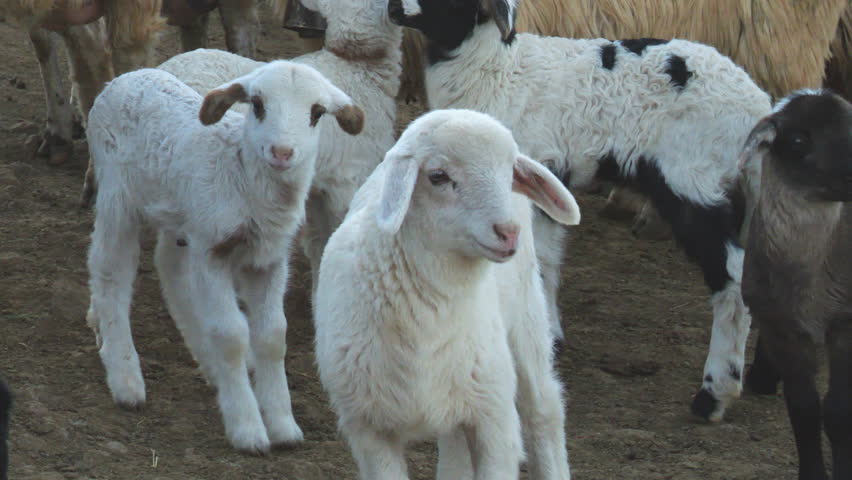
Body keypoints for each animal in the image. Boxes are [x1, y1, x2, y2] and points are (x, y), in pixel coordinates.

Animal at [84, 61, 364, 453]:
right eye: (257, 104)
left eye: (317, 112)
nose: (282, 152)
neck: (243, 175)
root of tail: (124, 78)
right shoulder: (212, 251)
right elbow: (231, 335)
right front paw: (248, 429)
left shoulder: (268, 258)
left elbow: (273, 336)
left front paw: (283, 426)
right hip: (117, 194)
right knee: (110, 271)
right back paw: (125, 377)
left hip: (181, 213)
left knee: (170, 269)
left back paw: (207, 363)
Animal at [315, 109, 579, 480]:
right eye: (438, 176)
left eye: (510, 172)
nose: (508, 232)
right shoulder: (368, 429)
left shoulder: (495, 419)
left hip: (526, 314)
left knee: (544, 408)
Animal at [390, 0, 772, 421]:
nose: (392, 8)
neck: (497, 72)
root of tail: (758, 108)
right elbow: (547, 261)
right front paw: (550, 333)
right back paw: (761, 378)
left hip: (694, 182)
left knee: (731, 277)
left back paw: (714, 395)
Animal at [739, 90, 852, 480]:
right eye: (799, 141)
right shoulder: (781, 327)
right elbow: (803, 409)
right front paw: (813, 473)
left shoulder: (844, 323)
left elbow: (837, 411)